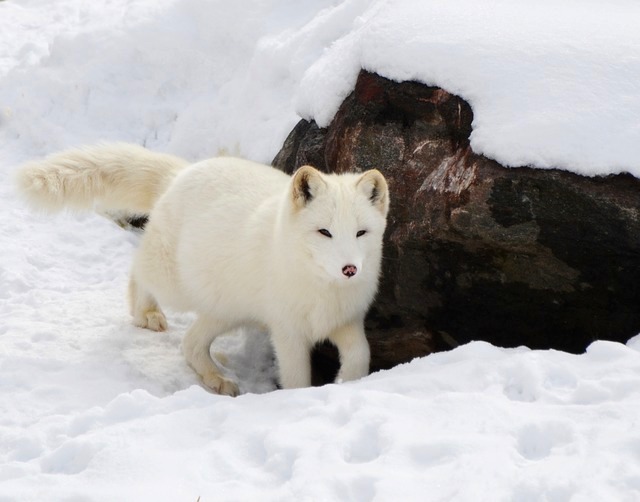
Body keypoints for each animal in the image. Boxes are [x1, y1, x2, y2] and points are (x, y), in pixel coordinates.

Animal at [16, 144, 390, 396]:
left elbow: (361, 355)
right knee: (138, 270)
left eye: (361, 233)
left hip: (226, 309)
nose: (350, 269)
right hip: (176, 286)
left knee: (190, 344)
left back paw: (216, 378)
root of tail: (181, 174)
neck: (322, 289)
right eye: (324, 232)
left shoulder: (346, 320)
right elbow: (297, 379)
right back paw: (146, 313)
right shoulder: (288, 332)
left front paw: (350, 383)